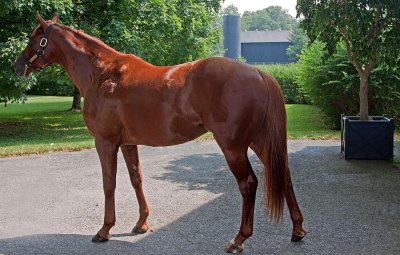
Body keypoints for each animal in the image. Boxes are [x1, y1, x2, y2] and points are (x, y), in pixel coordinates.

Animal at [14, 13, 304, 253]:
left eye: (34, 38)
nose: (18, 66)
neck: (103, 74)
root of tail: (257, 72)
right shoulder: (127, 143)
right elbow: (136, 179)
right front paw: (141, 223)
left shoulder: (105, 142)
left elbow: (109, 184)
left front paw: (105, 230)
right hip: (258, 141)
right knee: (284, 174)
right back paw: (298, 229)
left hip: (233, 147)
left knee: (248, 184)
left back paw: (239, 240)